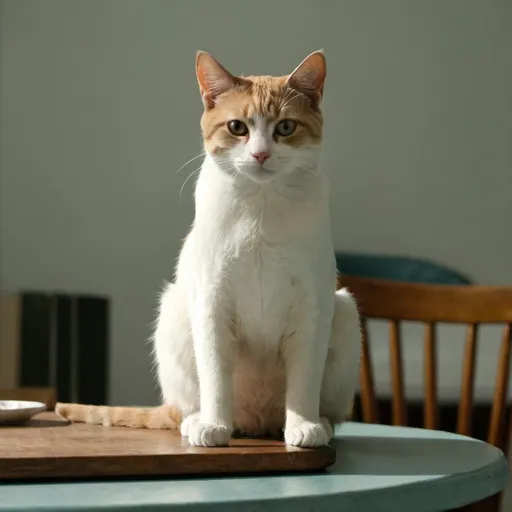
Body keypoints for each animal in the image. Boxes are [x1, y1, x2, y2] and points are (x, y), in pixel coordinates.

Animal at [56, 50, 362, 446]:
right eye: (237, 127)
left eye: (284, 127)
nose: (260, 154)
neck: (260, 208)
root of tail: (257, 425)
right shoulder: (211, 301)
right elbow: (215, 376)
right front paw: (214, 425)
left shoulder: (312, 305)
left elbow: (305, 379)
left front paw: (303, 425)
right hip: (174, 309)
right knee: (185, 406)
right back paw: (197, 420)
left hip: (345, 310)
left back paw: (317, 423)